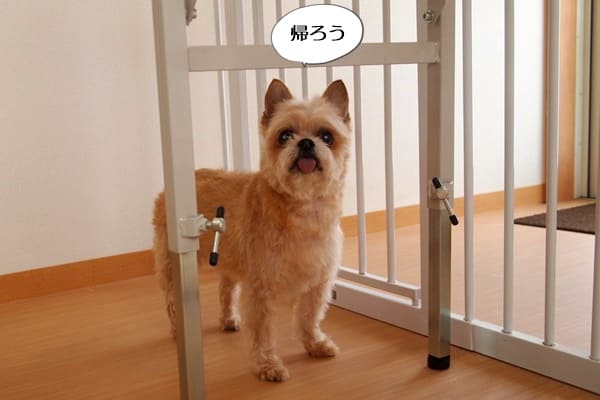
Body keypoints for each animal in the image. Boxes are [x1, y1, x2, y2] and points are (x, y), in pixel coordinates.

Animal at [152, 78, 352, 382]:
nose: (306, 143)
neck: (302, 209)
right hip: (172, 264)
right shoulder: (260, 289)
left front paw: (314, 343)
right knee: (173, 300)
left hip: (228, 258)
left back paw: (228, 319)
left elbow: (308, 318)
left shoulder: (318, 283)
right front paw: (267, 364)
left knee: (225, 289)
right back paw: (178, 330)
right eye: (285, 135)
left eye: (326, 136)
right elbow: (262, 332)